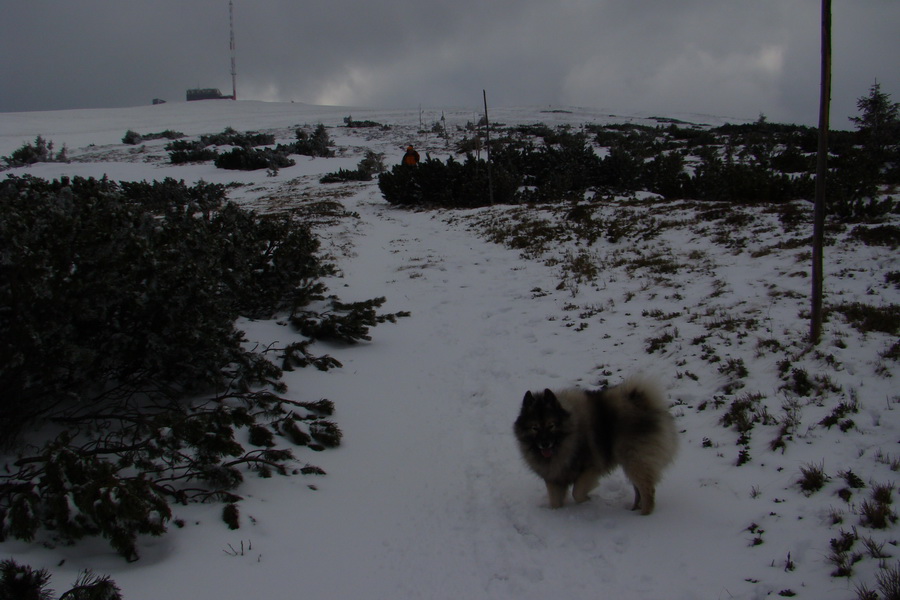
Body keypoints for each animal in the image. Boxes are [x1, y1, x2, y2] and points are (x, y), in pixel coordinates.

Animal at [512, 378, 676, 512]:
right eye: (535, 428)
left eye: (551, 425)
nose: (545, 444)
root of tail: (646, 404)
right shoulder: (554, 477)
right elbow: (555, 502)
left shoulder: (591, 468)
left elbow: (577, 492)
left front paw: (588, 500)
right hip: (632, 462)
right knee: (639, 490)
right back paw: (634, 509)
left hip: (635, 460)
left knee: (647, 491)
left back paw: (643, 515)